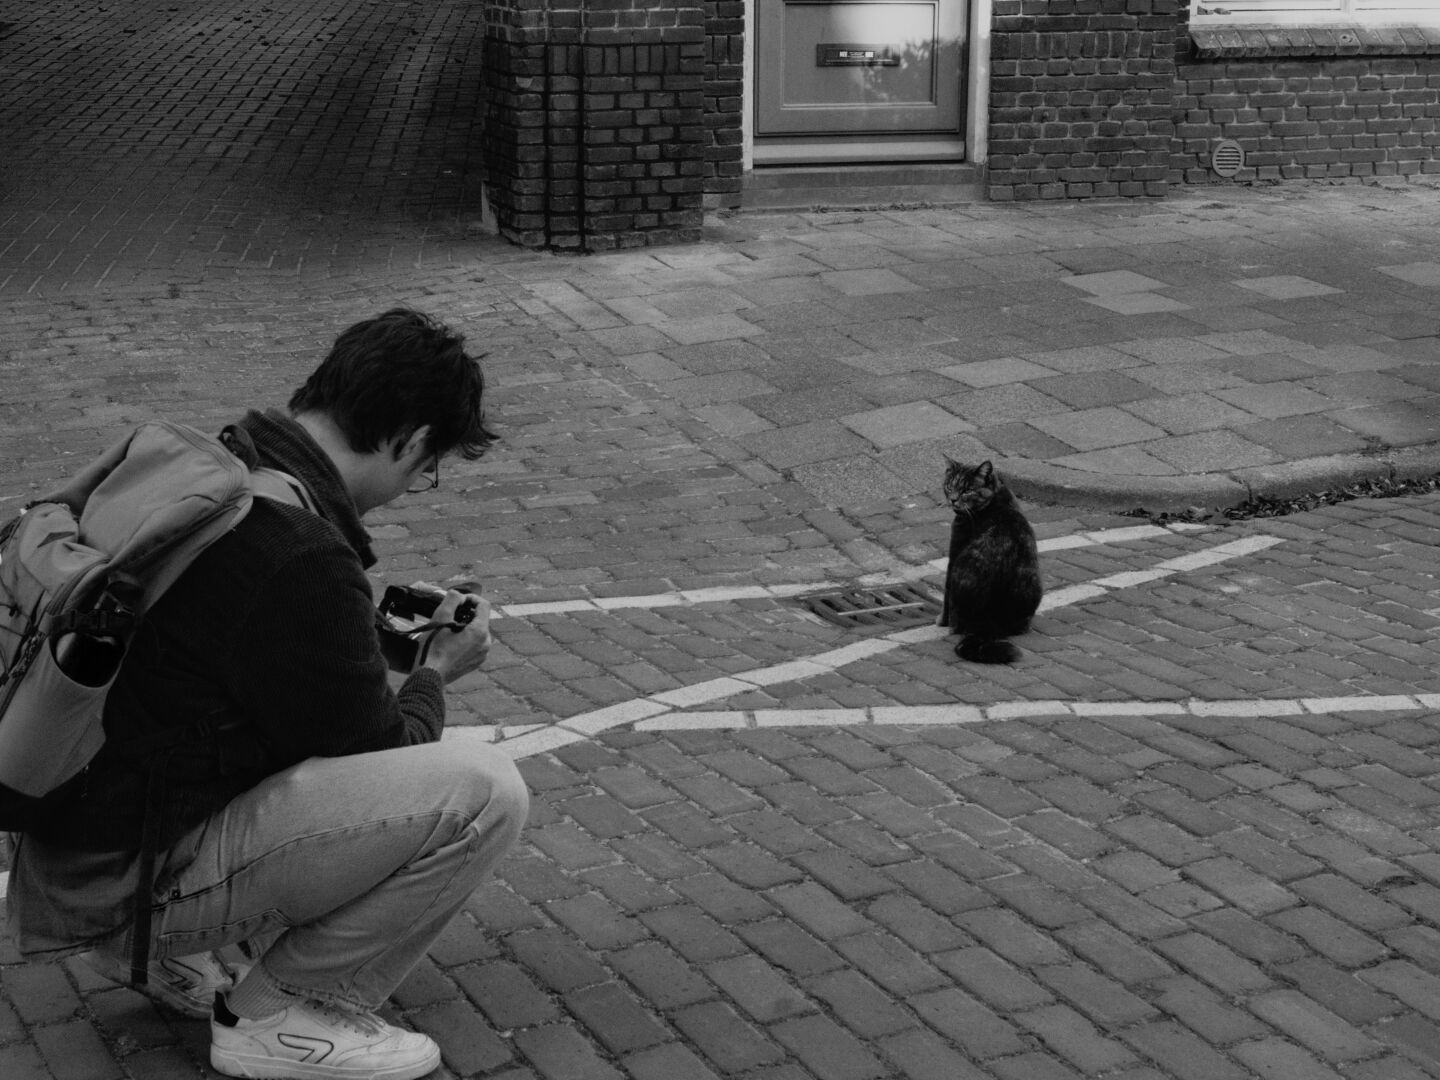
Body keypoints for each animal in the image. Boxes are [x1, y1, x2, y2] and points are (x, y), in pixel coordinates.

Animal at [938, 455, 1042, 659]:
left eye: (967, 490)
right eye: (949, 486)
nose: (953, 499)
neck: (994, 498)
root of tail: (991, 622)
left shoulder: (954, 551)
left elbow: (945, 597)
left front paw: (941, 621)